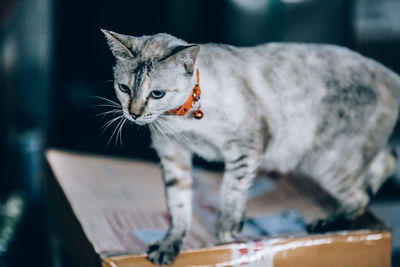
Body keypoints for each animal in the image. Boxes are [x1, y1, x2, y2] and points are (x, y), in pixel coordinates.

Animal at [101, 29, 400, 266]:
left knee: (361, 193)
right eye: (124, 89)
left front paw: (225, 236)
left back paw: (326, 223)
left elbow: (231, 193)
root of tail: (389, 73)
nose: (134, 114)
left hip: (326, 162)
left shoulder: (244, 148)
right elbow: (178, 207)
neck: (180, 120)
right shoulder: (173, 154)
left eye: (157, 94)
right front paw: (169, 247)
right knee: (383, 164)